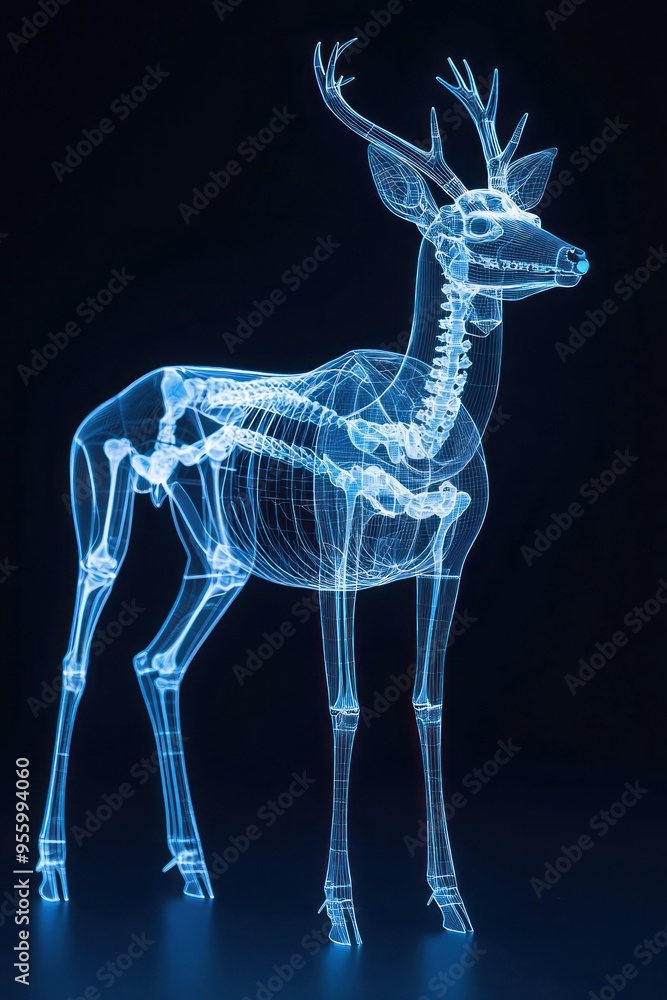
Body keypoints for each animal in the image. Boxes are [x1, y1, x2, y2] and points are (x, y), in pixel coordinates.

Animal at [37, 40, 589, 946]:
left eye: (530, 210)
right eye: (475, 221)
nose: (575, 257)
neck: (413, 436)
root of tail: (104, 405)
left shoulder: (451, 557)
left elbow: (429, 703)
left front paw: (452, 905)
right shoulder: (337, 556)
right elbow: (344, 706)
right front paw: (340, 914)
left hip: (218, 559)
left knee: (158, 660)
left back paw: (196, 873)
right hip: (102, 508)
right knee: (80, 648)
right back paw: (53, 875)